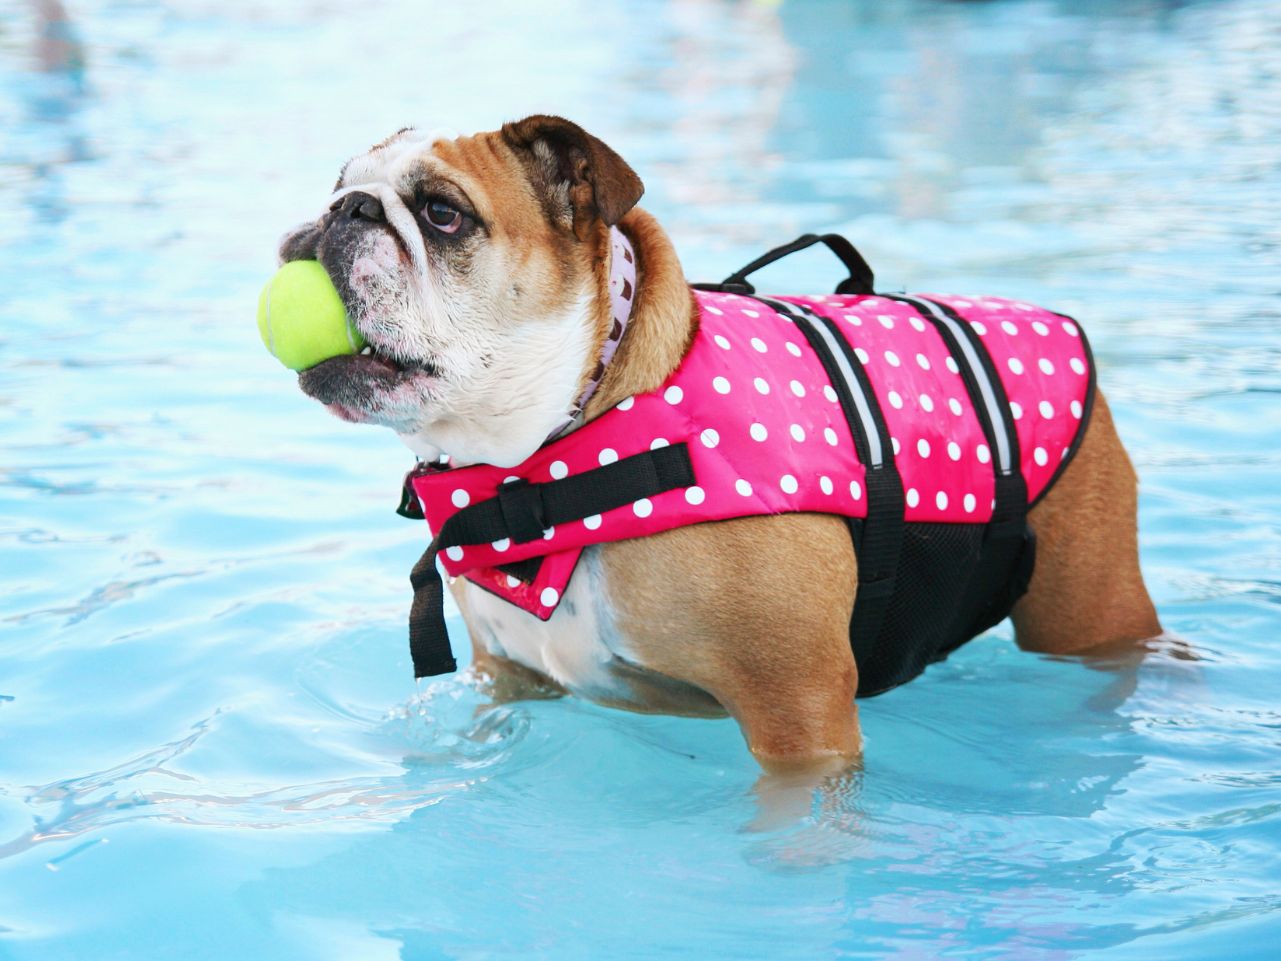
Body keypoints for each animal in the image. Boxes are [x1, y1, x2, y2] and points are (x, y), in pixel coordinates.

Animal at [277, 116, 1163, 773]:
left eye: (442, 214)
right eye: (338, 186)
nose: (344, 211)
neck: (540, 461)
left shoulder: (800, 717)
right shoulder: (512, 678)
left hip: (1088, 602)